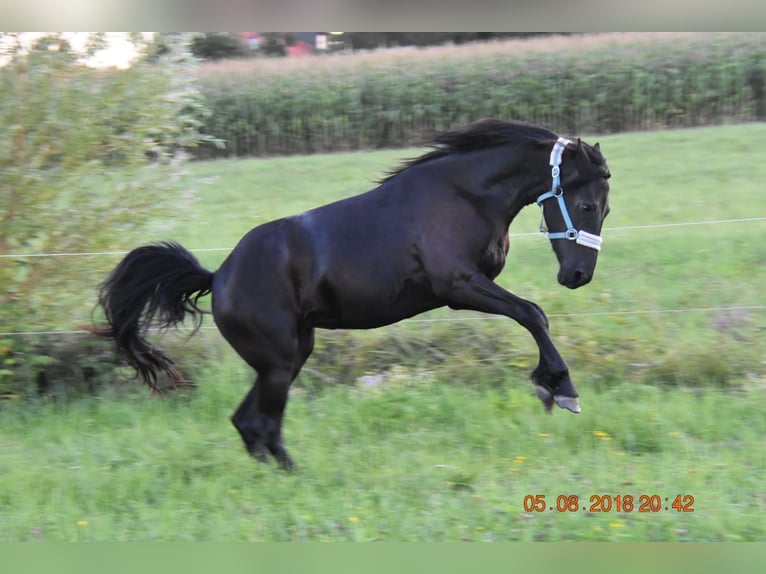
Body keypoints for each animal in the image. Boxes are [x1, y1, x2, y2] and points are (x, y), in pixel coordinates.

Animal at [94, 119, 612, 470]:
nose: (578, 274)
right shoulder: (458, 285)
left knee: (249, 423)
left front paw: (551, 386)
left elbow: (530, 314)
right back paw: (294, 477)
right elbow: (532, 313)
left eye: (606, 209)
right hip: (278, 363)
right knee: (261, 423)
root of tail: (218, 275)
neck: (464, 195)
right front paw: (559, 387)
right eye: (587, 205)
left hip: (291, 356)